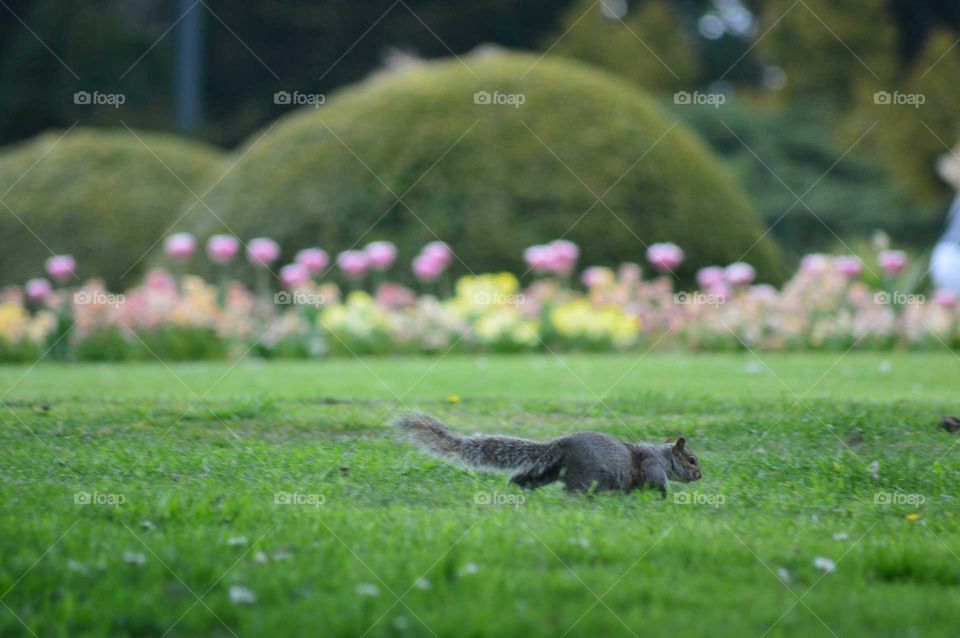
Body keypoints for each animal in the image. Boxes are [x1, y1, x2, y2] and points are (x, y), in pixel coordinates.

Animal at [394, 412, 702, 495]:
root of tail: (561, 444)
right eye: (692, 460)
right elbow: (659, 487)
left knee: (528, 478)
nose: (700, 475)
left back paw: (515, 489)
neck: (663, 456)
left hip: (550, 469)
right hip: (587, 474)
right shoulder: (653, 467)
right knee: (573, 489)